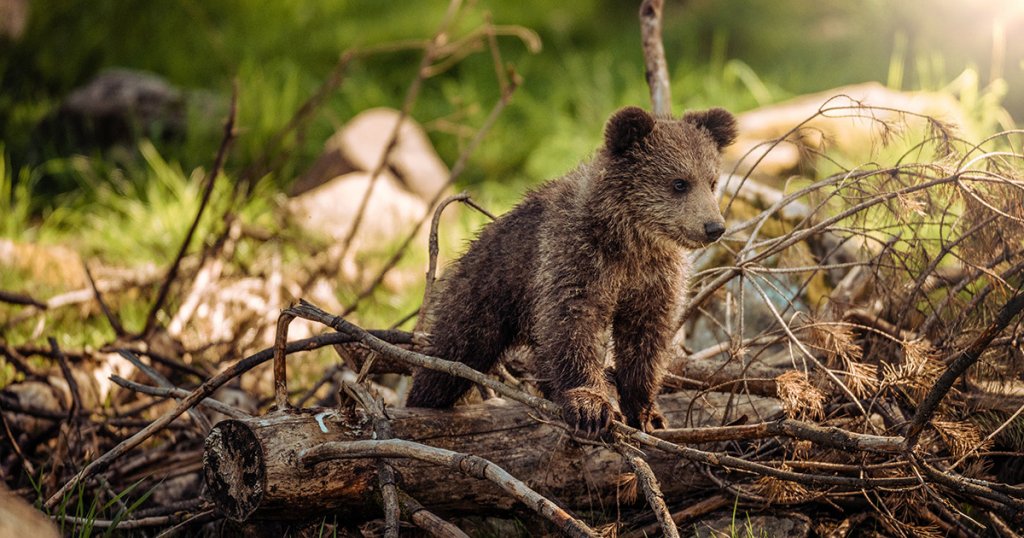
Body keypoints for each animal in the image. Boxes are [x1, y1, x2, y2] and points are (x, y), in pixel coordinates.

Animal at [406, 106, 738, 435]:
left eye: (712, 181)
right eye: (679, 182)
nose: (714, 227)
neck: (630, 241)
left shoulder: (653, 278)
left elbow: (645, 337)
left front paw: (647, 413)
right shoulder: (576, 257)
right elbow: (573, 324)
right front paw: (590, 406)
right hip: (485, 291)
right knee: (452, 353)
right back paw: (422, 400)